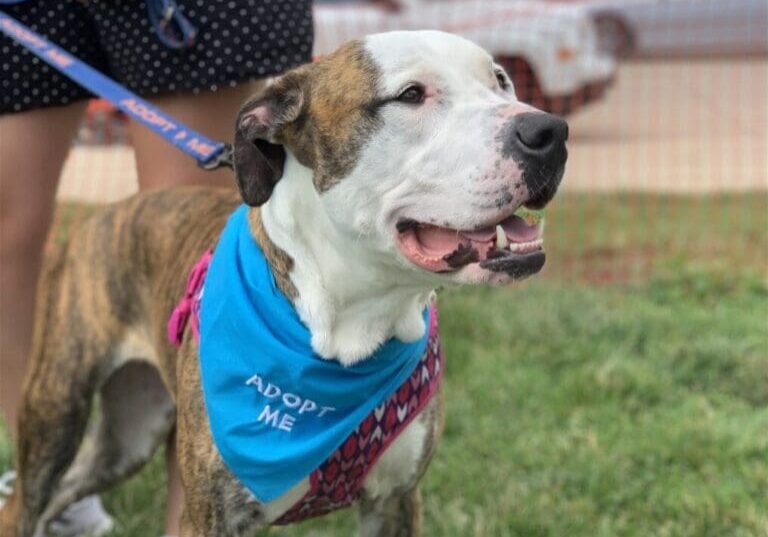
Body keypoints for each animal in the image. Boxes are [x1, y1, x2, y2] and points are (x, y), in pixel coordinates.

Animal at [0, 30, 564, 536]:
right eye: (411, 94)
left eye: (501, 82)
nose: (549, 130)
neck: (354, 319)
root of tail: (103, 213)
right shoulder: (210, 518)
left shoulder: (395, 502)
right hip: (56, 411)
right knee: (25, 503)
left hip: (130, 433)